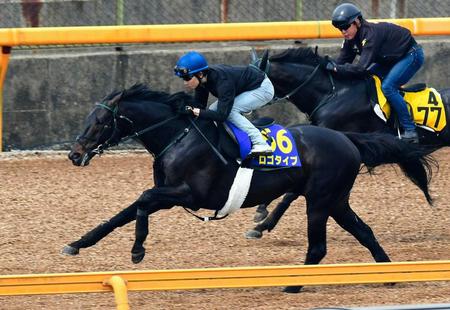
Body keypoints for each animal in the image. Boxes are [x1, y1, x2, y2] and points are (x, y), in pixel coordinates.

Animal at [65, 84, 434, 294]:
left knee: (318, 248)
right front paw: (77, 243)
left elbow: (141, 202)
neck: (179, 136)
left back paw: (292, 285)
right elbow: (122, 213)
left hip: (319, 200)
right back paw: (388, 274)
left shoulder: (191, 195)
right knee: (365, 231)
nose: (75, 154)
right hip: (336, 201)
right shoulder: (169, 192)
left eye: (101, 121)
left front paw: (138, 249)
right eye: (88, 118)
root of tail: (348, 139)